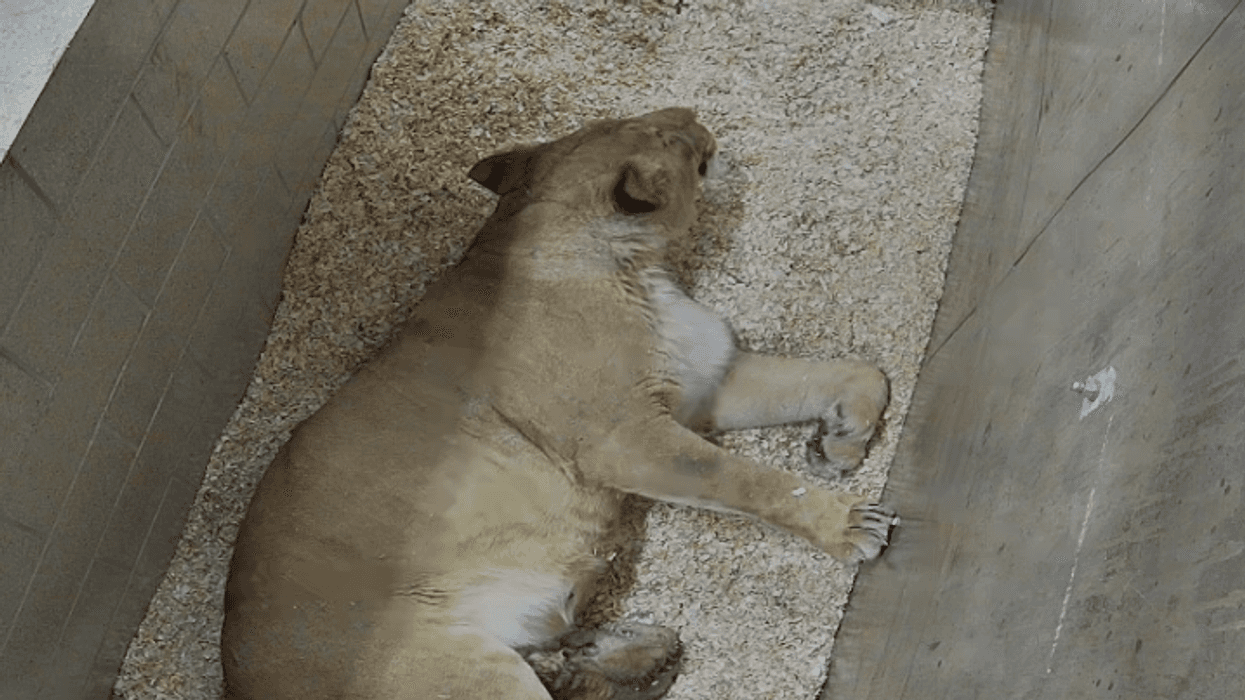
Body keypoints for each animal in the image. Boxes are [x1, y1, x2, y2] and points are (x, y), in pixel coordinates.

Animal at [221, 107, 896, 700]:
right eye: (665, 135)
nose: (694, 114)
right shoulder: (629, 439)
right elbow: (749, 481)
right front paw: (849, 522)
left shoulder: (706, 381)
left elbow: (862, 374)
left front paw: (840, 442)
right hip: (475, 677)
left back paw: (636, 652)